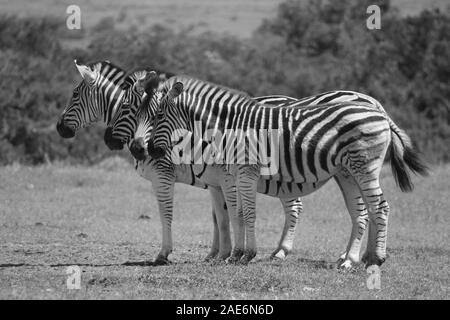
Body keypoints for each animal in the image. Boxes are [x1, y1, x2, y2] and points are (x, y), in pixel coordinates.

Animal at [55, 60, 302, 264]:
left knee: (294, 206)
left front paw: (164, 253)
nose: (59, 127)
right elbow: (219, 218)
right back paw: (276, 250)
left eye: (75, 94)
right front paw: (218, 254)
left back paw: (281, 251)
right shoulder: (215, 181)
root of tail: (293, 99)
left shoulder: (163, 174)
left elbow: (167, 213)